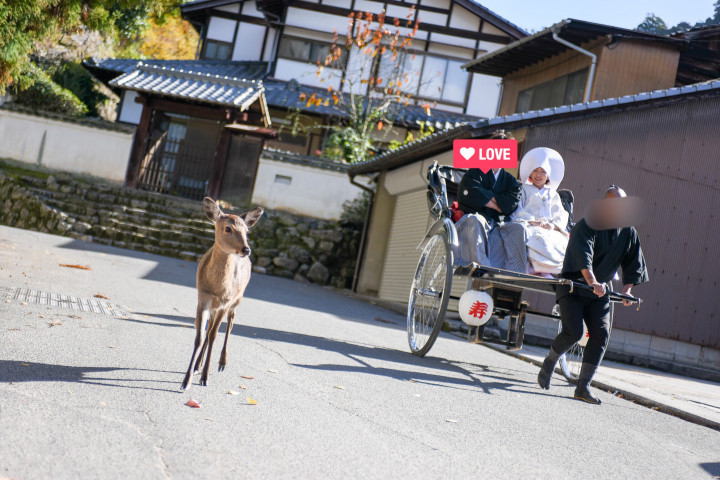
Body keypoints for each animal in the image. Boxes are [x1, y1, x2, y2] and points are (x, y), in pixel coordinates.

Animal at [180, 197, 264, 388]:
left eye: (246, 231)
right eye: (227, 228)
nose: (246, 249)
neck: (218, 289)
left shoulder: (226, 303)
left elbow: (213, 336)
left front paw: (205, 378)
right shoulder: (202, 298)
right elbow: (200, 336)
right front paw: (187, 380)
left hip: (238, 299)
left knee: (231, 321)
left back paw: (221, 363)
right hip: (215, 306)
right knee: (211, 326)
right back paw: (198, 365)